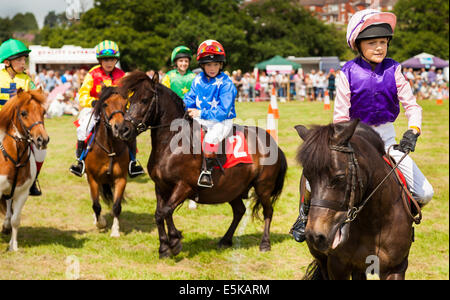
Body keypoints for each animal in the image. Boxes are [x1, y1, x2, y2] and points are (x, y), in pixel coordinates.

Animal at [0, 88, 48, 251]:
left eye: (43, 112)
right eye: (23, 113)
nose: (43, 140)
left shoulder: (22, 193)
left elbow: (16, 219)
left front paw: (13, 246)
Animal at [85, 86, 130, 237]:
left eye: (125, 104)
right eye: (105, 104)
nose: (120, 128)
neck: (109, 148)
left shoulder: (121, 178)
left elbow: (116, 206)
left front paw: (115, 231)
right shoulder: (92, 178)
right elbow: (96, 205)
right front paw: (100, 223)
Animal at [115, 71, 284, 258]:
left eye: (144, 100)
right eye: (130, 100)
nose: (122, 130)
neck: (172, 143)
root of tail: (273, 143)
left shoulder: (184, 186)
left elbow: (164, 212)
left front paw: (174, 242)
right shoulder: (161, 186)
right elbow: (160, 213)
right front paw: (166, 247)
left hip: (263, 188)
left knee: (268, 211)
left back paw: (265, 243)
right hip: (233, 189)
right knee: (239, 211)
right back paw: (225, 240)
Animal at [296, 119, 418, 278]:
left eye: (340, 177)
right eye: (308, 177)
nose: (315, 236)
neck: (374, 221)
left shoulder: (396, 268)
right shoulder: (337, 266)